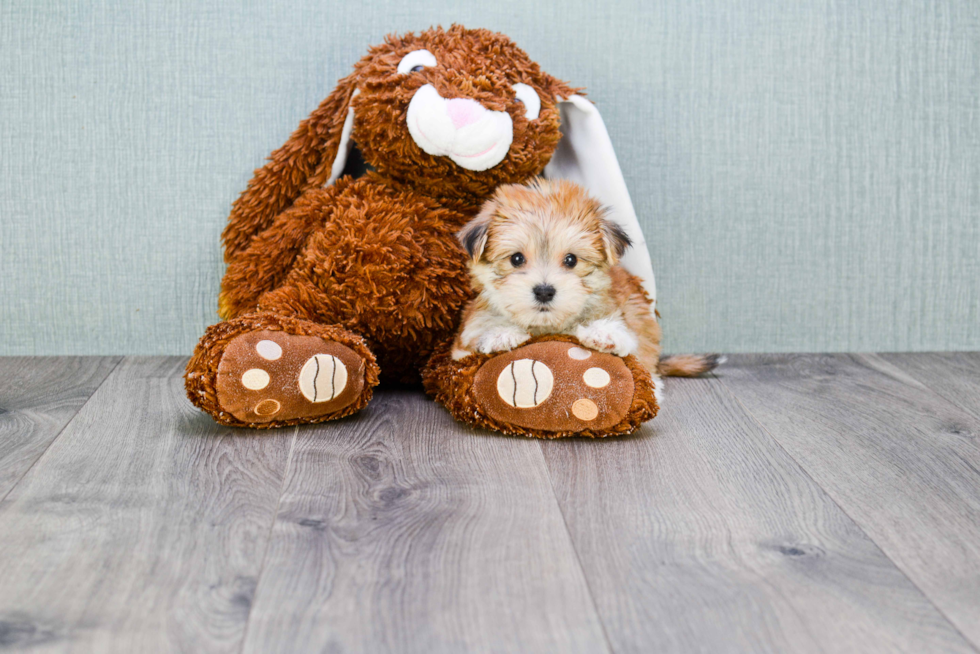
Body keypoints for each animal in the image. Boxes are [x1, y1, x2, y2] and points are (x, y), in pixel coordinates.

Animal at [454, 177, 720, 398]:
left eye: (571, 260)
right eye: (516, 259)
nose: (544, 291)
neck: (547, 326)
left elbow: (631, 344)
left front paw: (604, 334)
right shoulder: (460, 345)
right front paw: (502, 333)